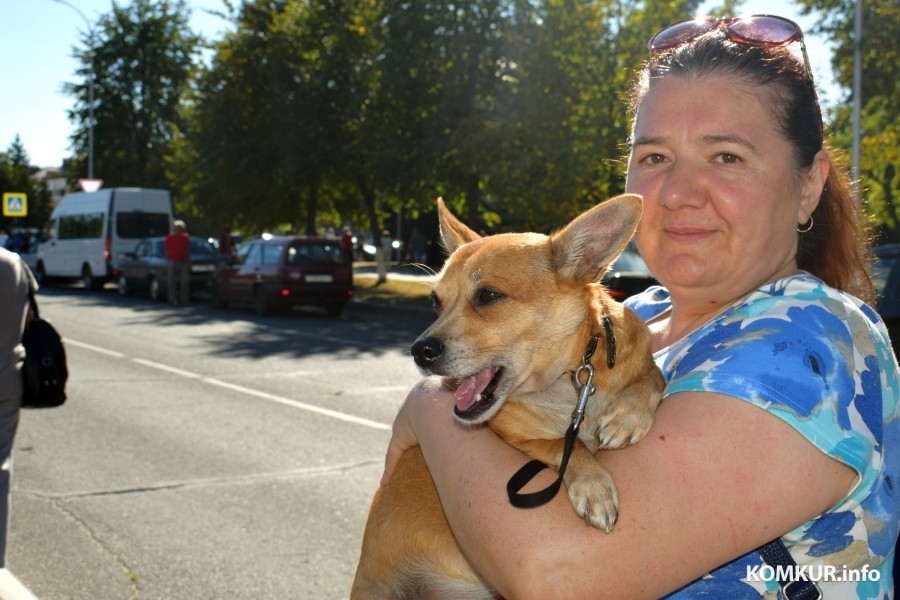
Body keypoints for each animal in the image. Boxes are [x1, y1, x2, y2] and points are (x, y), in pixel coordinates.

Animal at [356, 195, 664, 596]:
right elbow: (563, 446)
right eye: (435, 302)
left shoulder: (642, 365)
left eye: (488, 295)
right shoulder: (517, 438)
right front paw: (593, 485)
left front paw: (628, 415)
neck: (569, 384)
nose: (418, 350)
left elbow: (653, 376)